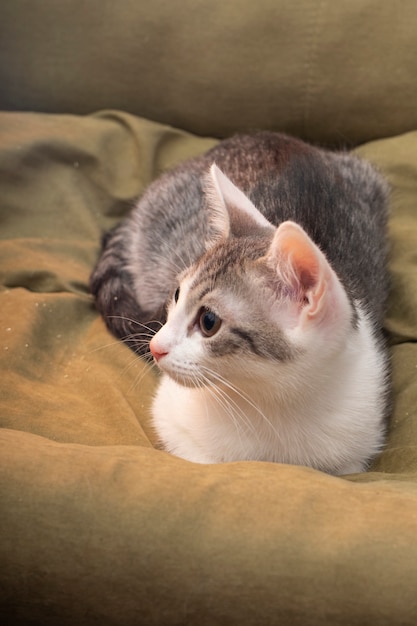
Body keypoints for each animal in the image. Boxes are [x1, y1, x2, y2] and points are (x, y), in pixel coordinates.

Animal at [89, 132, 388, 472]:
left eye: (209, 322)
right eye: (177, 294)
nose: (155, 346)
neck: (271, 404)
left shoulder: (358, 446)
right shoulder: (169, 415)